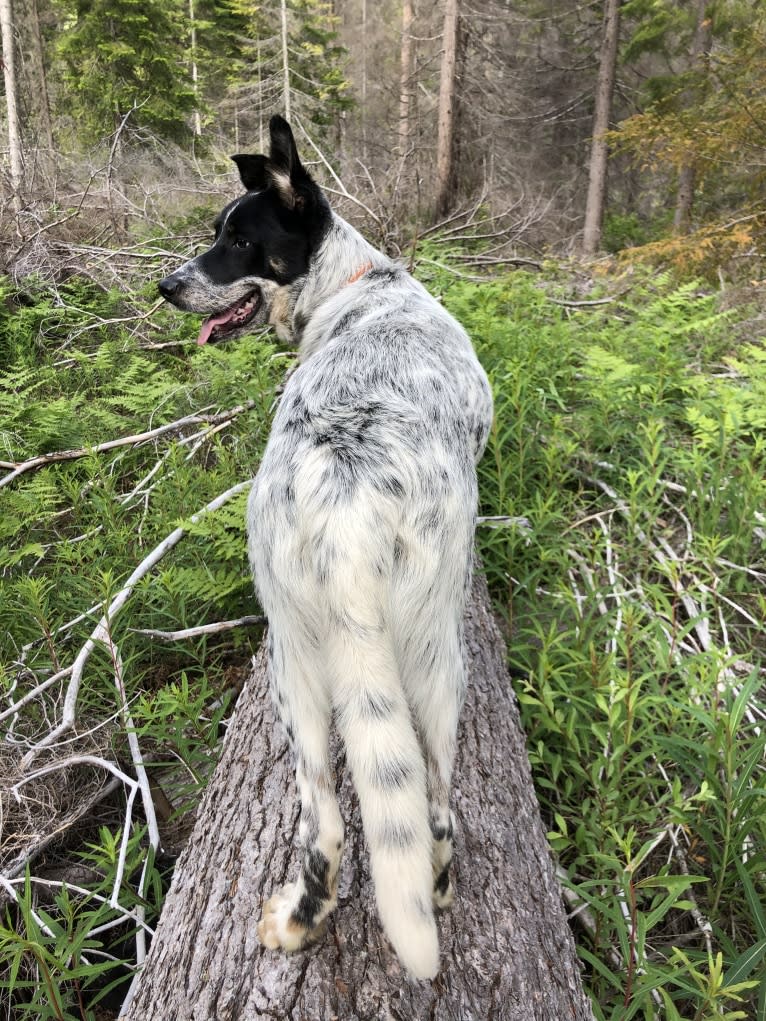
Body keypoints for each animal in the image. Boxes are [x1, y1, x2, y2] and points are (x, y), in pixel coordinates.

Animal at [159, 115, 494, 976]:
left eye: (237, 239)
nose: (166, 286)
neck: (354, 286)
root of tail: (350, 504)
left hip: (295, 667)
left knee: (328, 823)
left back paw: (298, 919)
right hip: (435, 665)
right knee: (435, 811)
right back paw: (438, 888)